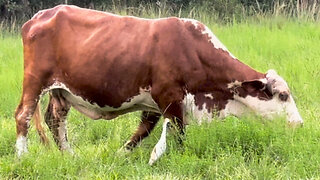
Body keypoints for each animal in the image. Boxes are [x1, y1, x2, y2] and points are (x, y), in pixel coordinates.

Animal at [15, 4, 302, 165]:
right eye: (283, 95)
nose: (299, 123)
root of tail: (41, 14)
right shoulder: (169, 96)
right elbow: (176, 133)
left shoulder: (155, 102)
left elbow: (144, 130)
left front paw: (124, 155)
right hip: (34, 81)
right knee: (23, 116)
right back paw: (21, 157)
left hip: (60, 92)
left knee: (56, 120)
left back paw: (69, 155)